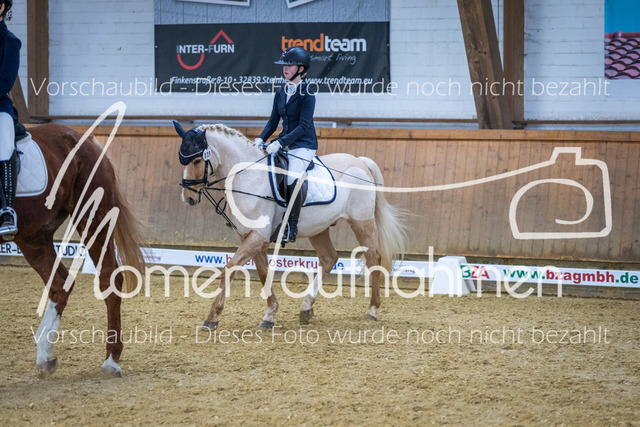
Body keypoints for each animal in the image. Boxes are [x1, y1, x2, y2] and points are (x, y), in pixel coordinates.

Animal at [11, 123, 145, 377]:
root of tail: (86, 139)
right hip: (33, 234)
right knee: (60, 282)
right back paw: (45, 355)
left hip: (92, 217)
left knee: (108, 278)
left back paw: (111, 360)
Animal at [174, 122, 407, 329]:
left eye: (197, 160)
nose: (188, 198)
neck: (248, 176)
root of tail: (360, 161)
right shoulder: (251, 237)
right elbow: (264, 273)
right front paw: (269, 315)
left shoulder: (257, 237)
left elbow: (230, 268)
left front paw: (212, 317)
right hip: (319, 228)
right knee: (329, 258)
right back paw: (306, 308)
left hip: (361, 223)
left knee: (373, 259)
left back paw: (372, 309)